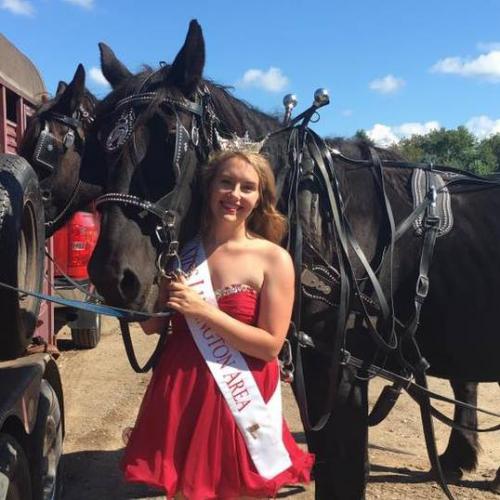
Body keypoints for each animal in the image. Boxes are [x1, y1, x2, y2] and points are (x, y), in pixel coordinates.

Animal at [80, 20, 498, 500]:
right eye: (99, 148)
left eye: (170, 143)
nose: (113, 276)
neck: (317, 217)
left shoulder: (342, 379)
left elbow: (342, 475)